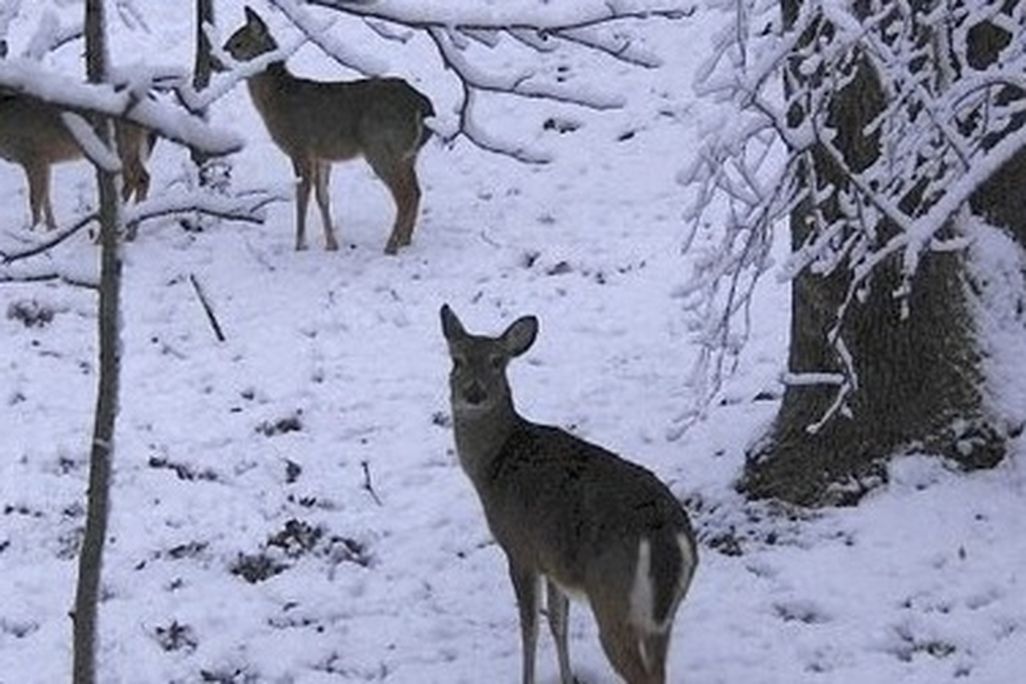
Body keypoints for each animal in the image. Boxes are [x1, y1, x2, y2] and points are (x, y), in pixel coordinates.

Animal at [0, 92, 155, 231]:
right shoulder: (45, 161)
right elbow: (46, 198)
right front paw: (52, 230)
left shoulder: (34, 156)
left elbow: (35, 200)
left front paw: (33, 232)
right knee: (142, 178)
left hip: (121, 147)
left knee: (136, 179)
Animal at [223, 7, 435, 254]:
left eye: (238, 42)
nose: (222, 52)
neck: (278, 100)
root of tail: (423, 106)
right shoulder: (322, 155)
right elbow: (322, 197)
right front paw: (331, 245)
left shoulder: (300, 147)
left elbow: (302, 195)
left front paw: (300, 245)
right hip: (408, 154)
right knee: (416, 191)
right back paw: (405, 241)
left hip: (381, 147)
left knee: (405, 195)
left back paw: (391, 246)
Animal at [440, 304, 698, 684]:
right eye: (456, 360)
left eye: (497, 361)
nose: (474, 393)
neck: (492, 465)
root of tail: (667, 535)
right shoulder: (554, 563)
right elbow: (558, 624)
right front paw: (567, 676)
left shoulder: (520, 547)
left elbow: (530, 628)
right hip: (662, 617)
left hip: (612, 596)